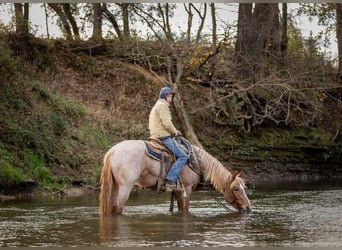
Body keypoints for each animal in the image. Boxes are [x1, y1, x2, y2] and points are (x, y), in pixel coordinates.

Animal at [99, 139, 251, 215]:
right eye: (236, 189)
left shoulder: (178, 191)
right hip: (125, 187)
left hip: (115, 186)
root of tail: (113, 151)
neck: (196, 161)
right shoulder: (187, 190)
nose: (248, 207)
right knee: (117, 208)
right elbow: (185, 210)